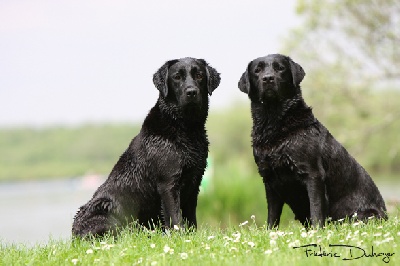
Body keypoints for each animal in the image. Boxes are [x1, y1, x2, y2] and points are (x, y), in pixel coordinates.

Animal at [72, 56, 222, 237]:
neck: (186, 128)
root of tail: (73, 233)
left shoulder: (195, 182)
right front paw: (179, 238)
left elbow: (191, 219)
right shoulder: (168, 183)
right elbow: (175, 218)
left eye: (199, 75)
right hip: (106, 211)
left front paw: (191, 238)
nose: (191, 92)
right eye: (177, 77)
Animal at [239, 54, 386, 229]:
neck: (276, 126)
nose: (268, 78)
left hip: (363, 216)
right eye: (257, 70)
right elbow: (272, 216)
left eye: (280, 68)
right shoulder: (268, 179)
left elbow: (315, 209)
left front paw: (317, 231)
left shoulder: (313, 175)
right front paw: (270, 233)